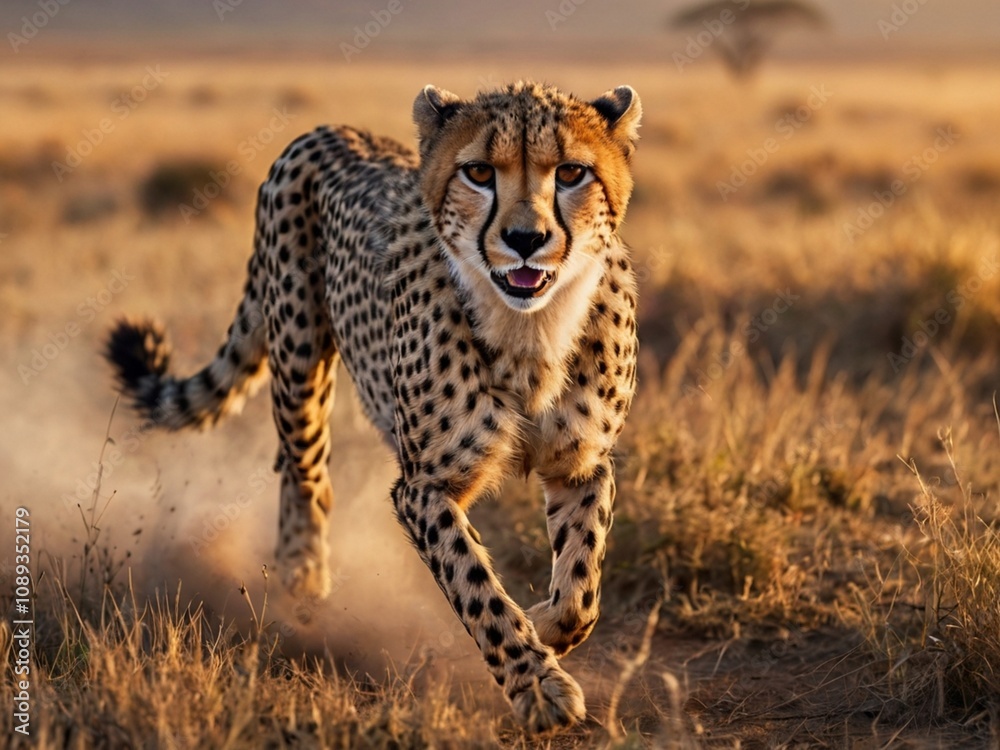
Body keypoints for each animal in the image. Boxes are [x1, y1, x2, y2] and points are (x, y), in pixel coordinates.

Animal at [105, 80, 641, 732]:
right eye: (479, 173)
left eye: (570, 172)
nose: (525, 240)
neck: (531, 330)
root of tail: (328, 130)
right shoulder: (423, 487)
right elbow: (476, 587)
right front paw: (536, 684)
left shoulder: (581, 465)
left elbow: (581, 585)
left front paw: (545, 626)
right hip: (300, 363)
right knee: (305, 474)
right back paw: (302, 584)